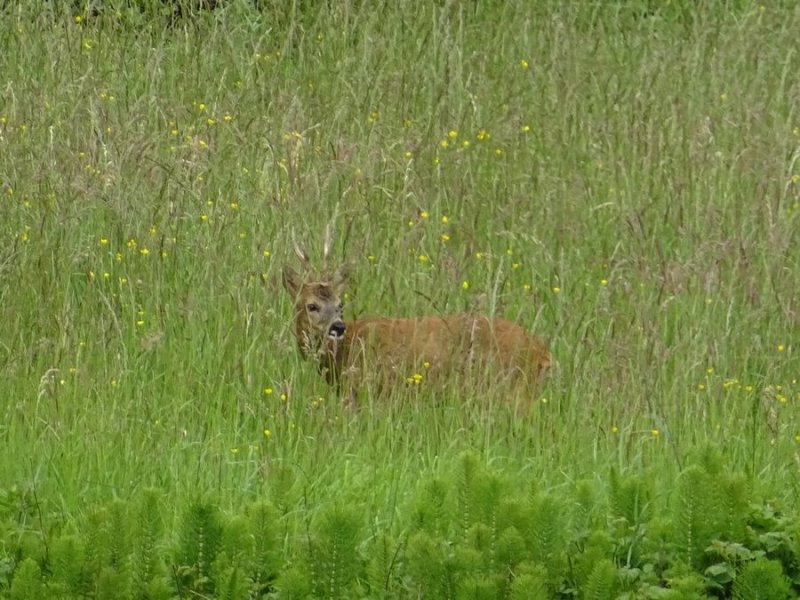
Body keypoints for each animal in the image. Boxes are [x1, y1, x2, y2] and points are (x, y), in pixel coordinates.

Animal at [284, 238, 552, 408]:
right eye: (312, 306)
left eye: (340, 304)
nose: (338, 327)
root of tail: (543, 353)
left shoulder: (372, 392)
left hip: (514, 392)